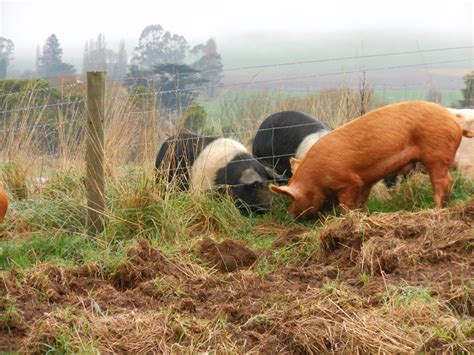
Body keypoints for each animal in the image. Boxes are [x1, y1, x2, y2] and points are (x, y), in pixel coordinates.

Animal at [270, 101, 474, 220]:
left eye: (291, 197)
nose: (291, 216)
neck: (316, 177)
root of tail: (453, 119)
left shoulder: (347, 182)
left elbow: (347, 204)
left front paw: (346, 219)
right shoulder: (364, 181)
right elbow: (362, 200)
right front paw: (363, 214)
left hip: (436, 154)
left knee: (443, 181)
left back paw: (436, 208)